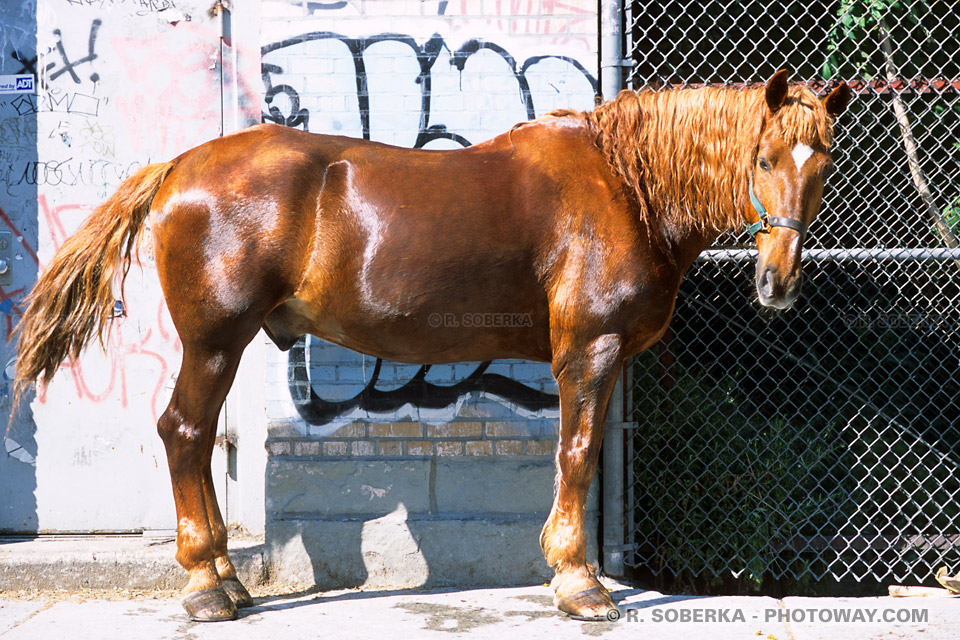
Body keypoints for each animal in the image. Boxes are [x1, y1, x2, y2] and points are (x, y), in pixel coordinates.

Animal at [13, 72, 848, 624]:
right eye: (765, 160)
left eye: (824, 164)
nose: (777, 283)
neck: (623, 186)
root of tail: (178, 167)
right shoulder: (590, 348)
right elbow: (577, 457)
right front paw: (580, 583)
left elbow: (578, 456)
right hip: (215, 339)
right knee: (184, 433)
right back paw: (205, 586)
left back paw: (227, 577)